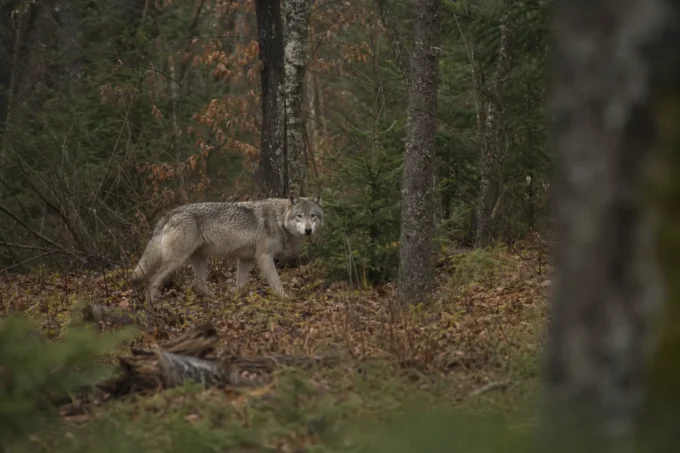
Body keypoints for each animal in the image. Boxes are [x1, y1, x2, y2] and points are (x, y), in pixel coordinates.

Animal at [129, 196, 323, 302]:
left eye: (313, 216)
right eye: (299, 216)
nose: (308, 230)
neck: (279, 219)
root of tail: (171, 213)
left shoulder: (245, 259)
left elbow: (241, 284)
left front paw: (234, 297)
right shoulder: (264, 257)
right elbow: (276, 283)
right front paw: (285, 299)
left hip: (199, 259)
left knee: (199, 284)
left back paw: (215, 298)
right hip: (177, 260)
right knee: (152, 280)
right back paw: (152, 306)